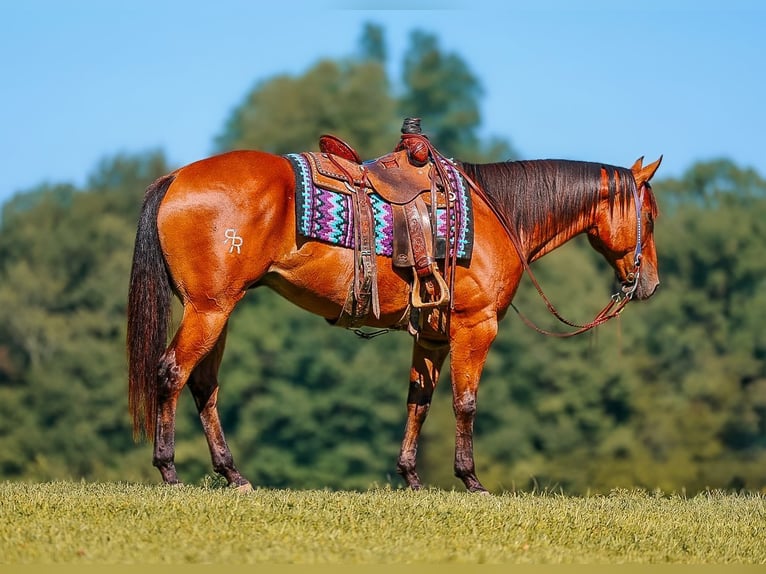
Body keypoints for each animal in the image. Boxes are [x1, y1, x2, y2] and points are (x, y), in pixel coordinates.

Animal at [126, 145, 662, 493]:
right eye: (652, 217)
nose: (650, 283)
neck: (498, 214)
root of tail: (175, 178)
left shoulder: (432, 335)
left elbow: (418, 402)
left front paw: (410, 476)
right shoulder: (475, 325)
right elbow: (465, 403)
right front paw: (471, 479)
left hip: (216, 310)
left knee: (203, 386)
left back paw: (232, 473)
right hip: (209, 310)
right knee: (171, 373)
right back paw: (169, 469)